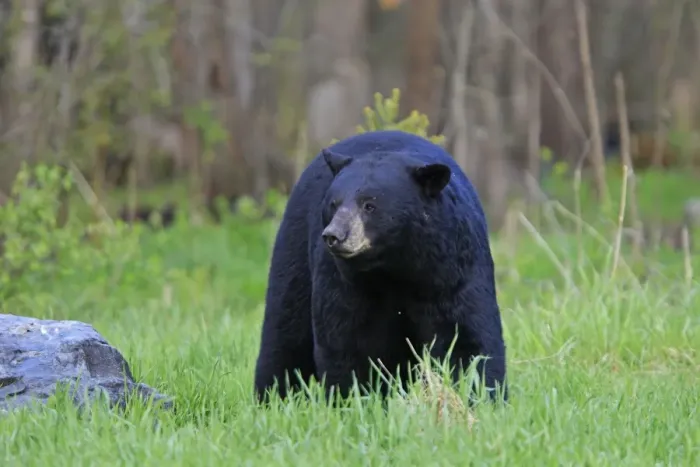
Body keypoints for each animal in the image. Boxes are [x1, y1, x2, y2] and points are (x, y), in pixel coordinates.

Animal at [253, 130, 508, 403]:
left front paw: (480, 397)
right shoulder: (343, 281)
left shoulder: (452, 270)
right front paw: (353, 399)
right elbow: (346, 340)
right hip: (295, 246)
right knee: (285, 331)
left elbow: (466, 336)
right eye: (334, 203)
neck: (392, 266)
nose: (334, 235)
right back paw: (271, 397)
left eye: (370, 205)